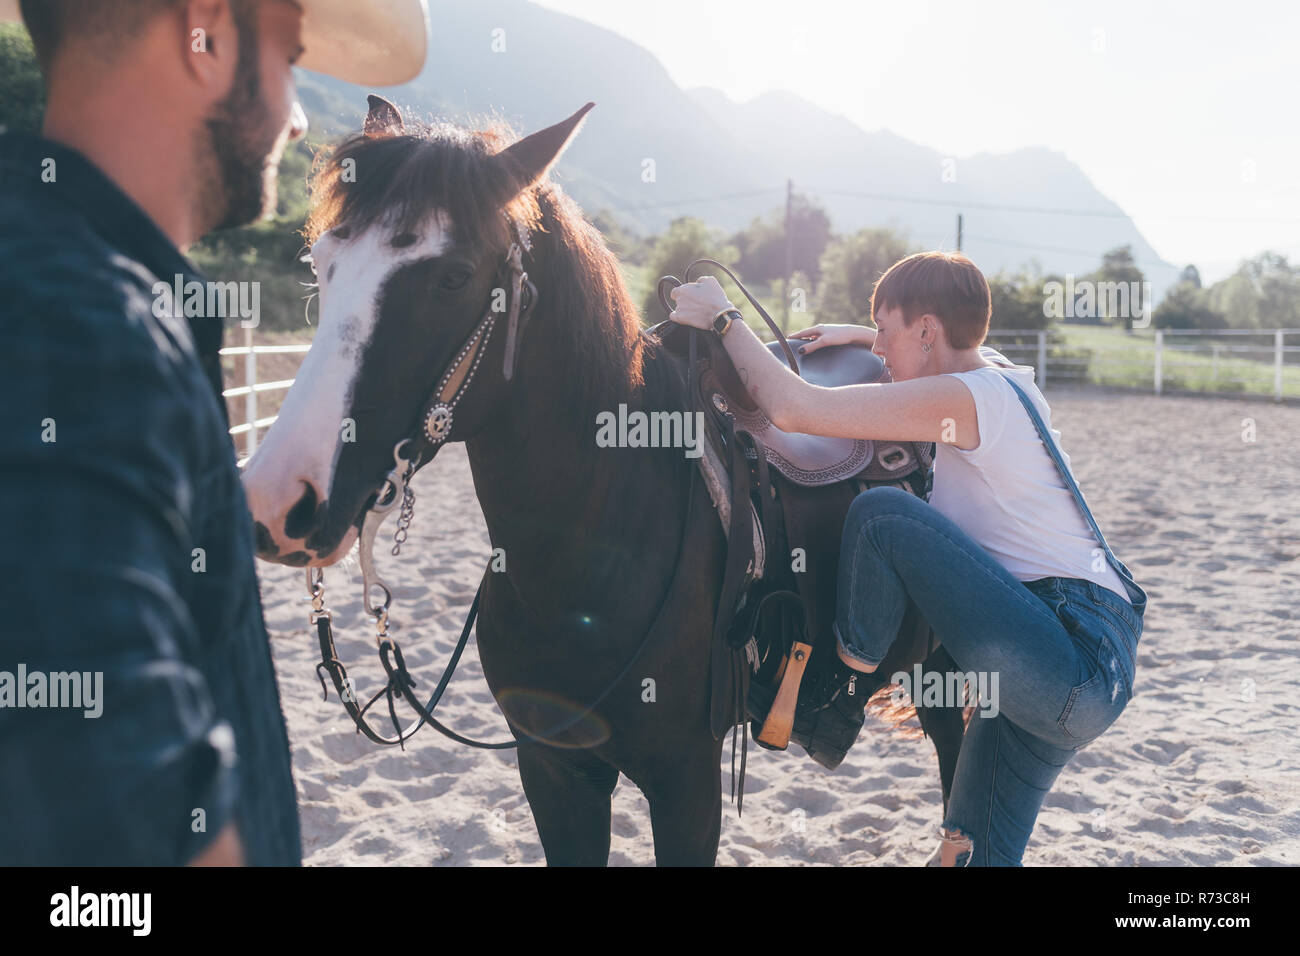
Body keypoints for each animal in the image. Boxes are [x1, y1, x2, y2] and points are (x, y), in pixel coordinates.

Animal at [241, 97, 967, 868]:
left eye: (454, 276)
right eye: (322, 262)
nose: (279, 499)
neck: (590, 556)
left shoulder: (686, 782)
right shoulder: (553, 769)